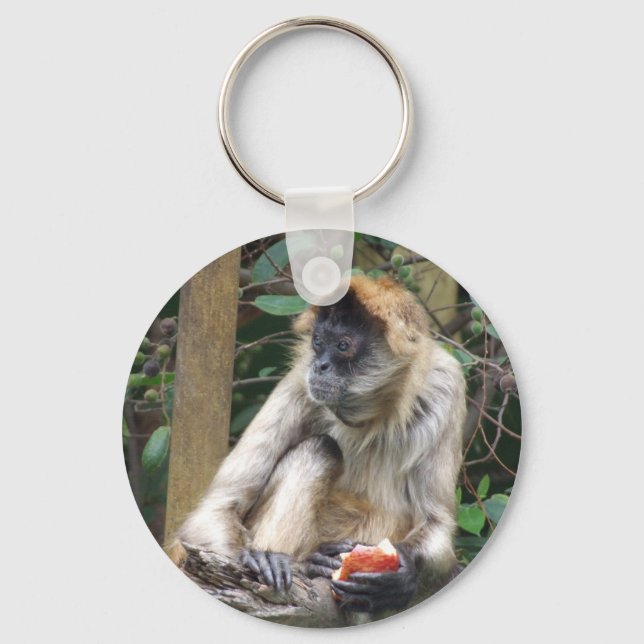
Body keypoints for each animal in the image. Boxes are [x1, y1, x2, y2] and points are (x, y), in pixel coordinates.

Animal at [169, 275, 466, 614]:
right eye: (319, 343)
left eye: (343, 346)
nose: (320, 365)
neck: (371, 419)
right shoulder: (300, 380)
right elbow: (215, 509)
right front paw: (286, 562)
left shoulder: (446, 383)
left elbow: (438, 527)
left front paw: (402, 577)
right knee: (320, 449)